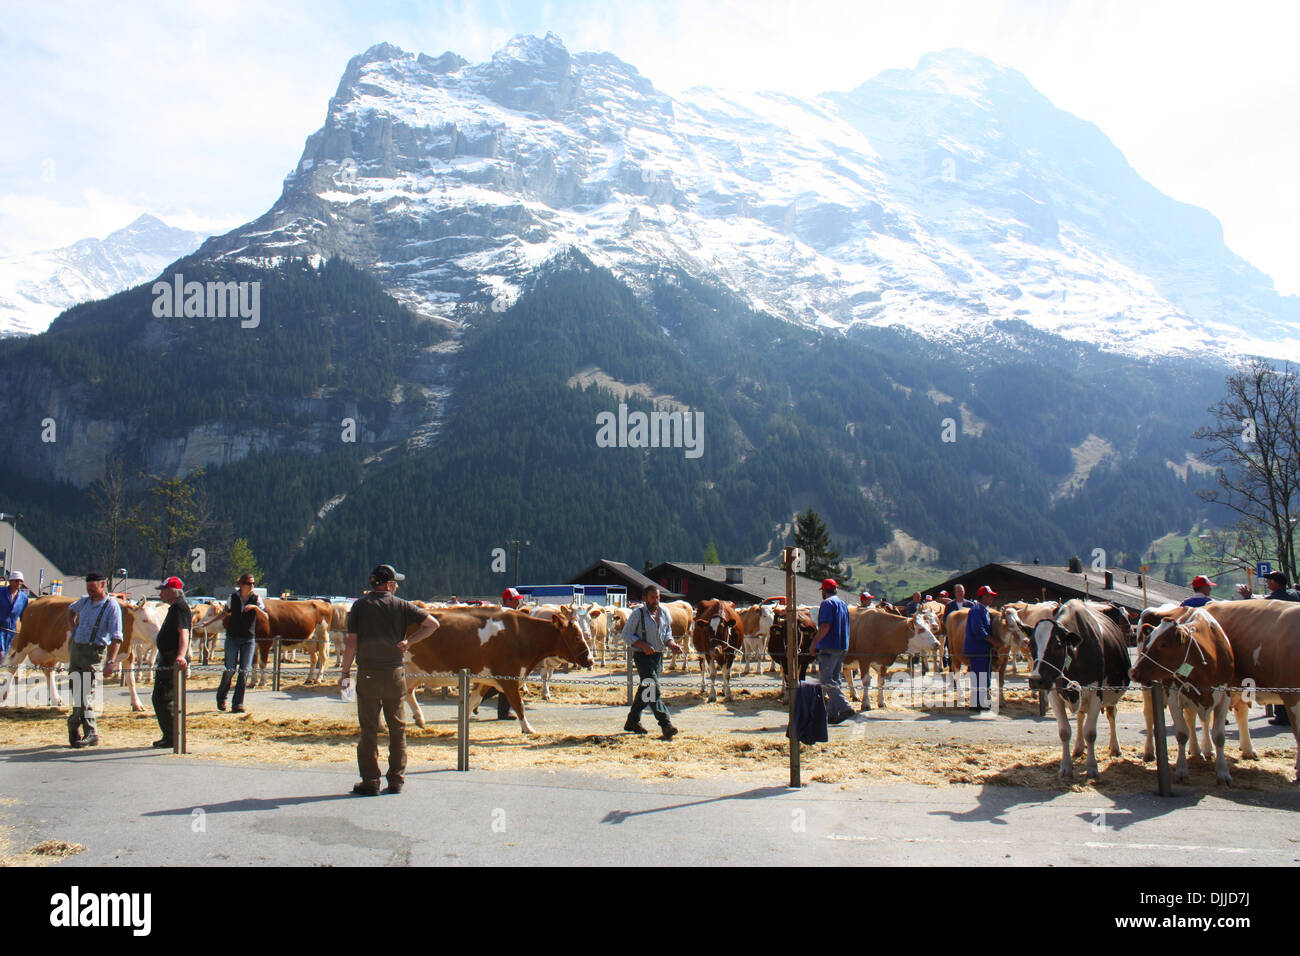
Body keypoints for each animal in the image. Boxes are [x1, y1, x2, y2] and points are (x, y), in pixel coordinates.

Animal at [403, 608, 592, 738]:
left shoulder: (487, 679)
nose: (590, 660)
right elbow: (518, 704)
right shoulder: (510, 678)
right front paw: (528, 728)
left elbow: (472, 702)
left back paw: (419, 718)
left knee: (407, 692)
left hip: (413, 673)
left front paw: (462, 725)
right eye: (576, 637)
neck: (523, 636)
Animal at [1029, 600, 1133, 780]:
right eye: (1030, 645)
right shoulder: (1054, 693)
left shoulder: (1095, 692)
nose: (1035, 680)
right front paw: (1065, 767)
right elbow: (1064, 732)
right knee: (1080, 716)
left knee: (1111, 714)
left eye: (1057, 645)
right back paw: (1078, 747)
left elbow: (1090, 732)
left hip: (1111, 692)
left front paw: (1092, 768)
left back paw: (1115, 747)